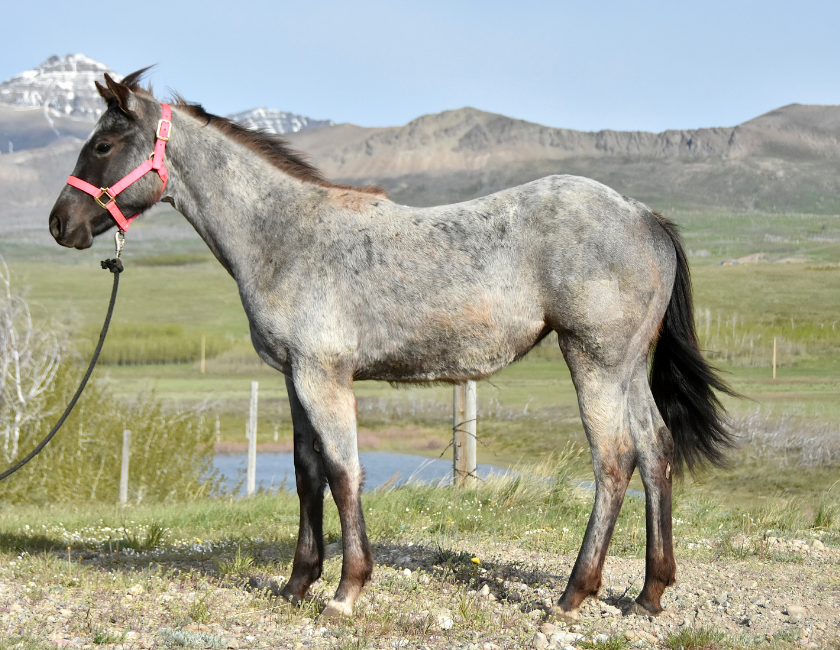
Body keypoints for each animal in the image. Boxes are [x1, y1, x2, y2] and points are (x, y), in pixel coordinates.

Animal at [48, 70, 735, 621]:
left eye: (103, 144)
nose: (59, 224)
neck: (283, 234)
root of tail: (644, 216)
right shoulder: (294, 377)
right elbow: (306, 471)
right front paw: (298, 582)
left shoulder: (323, 376)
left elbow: (344, 471)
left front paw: (347, 589)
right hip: (627, 369)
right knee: (655, 450)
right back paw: (648, 594)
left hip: (594, 361)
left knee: (614, 461)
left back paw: (574, 594)